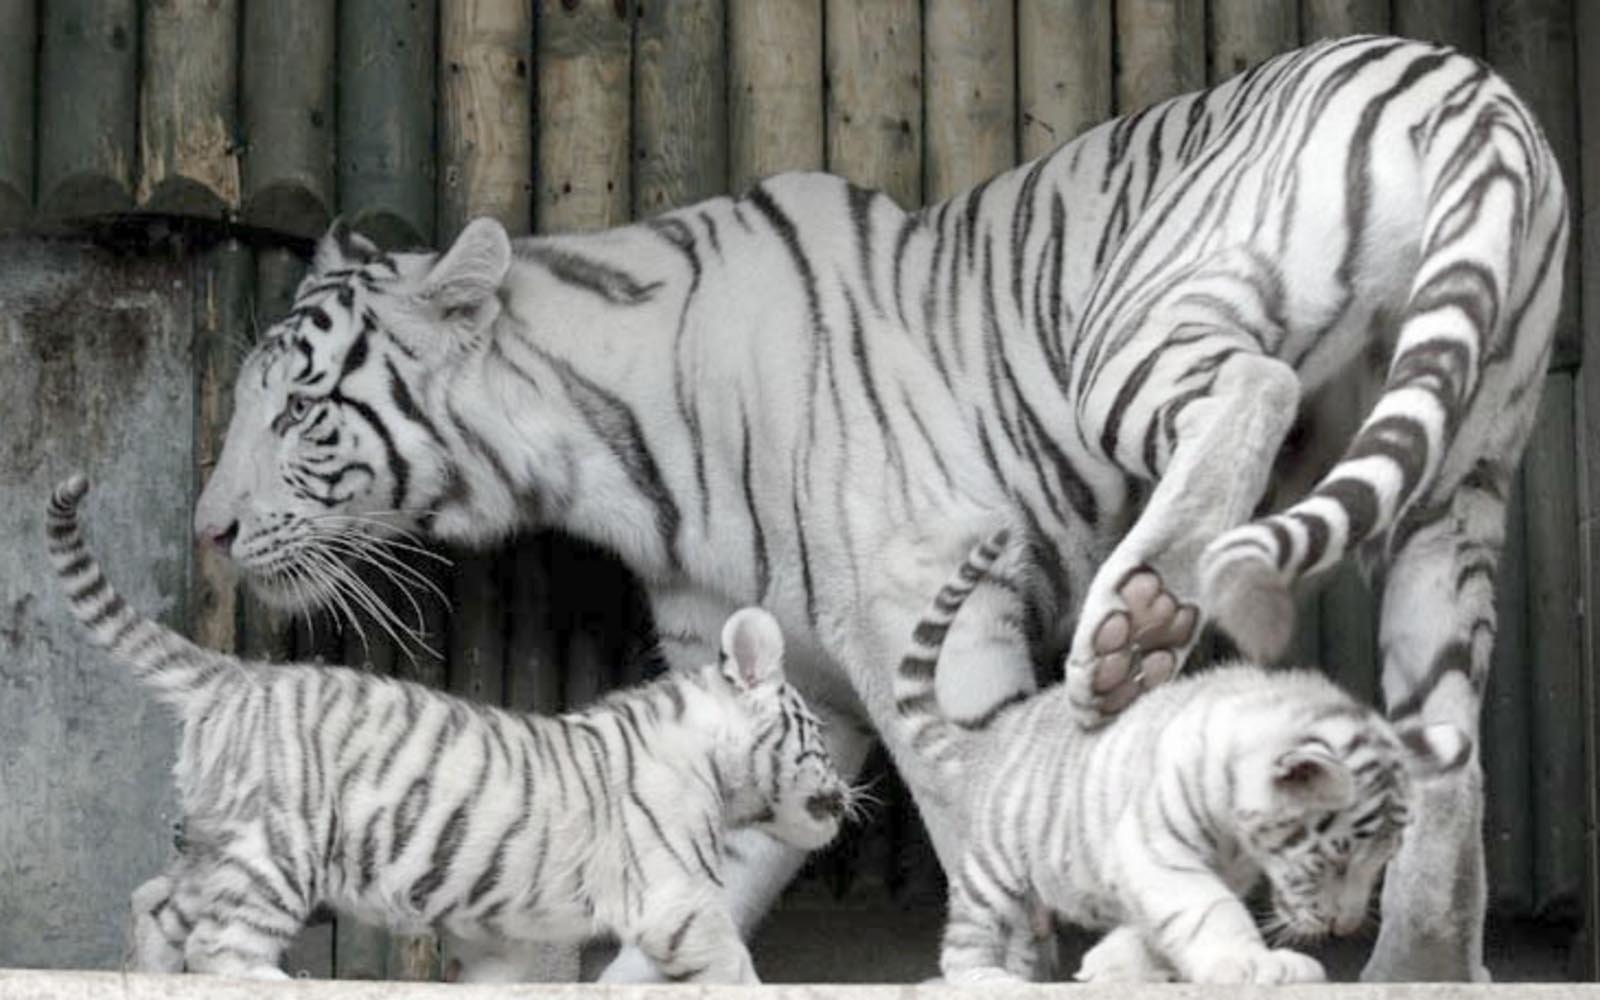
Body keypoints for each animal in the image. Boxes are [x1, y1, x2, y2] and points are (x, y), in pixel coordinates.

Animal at [46, 474, 848, 983]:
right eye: (816, 735)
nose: (848, 791)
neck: (713, 765)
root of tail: (239, 675)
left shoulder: (504, 928)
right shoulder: (675, 896)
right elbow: (732, 962)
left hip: (219, 841)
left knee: (158, 904)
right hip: (277, 845)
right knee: (223, 941)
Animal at [895, 530, 1472, 984]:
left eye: (1382, 861)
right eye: (1334, 860)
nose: (1346, 926)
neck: (1239, 838)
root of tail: (997, 729)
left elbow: (1159, 926)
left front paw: (1112, 963)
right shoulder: (1157, 848)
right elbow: (1207, 910)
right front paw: (1257, 964)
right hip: (996, 865)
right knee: (969, 932)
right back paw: (986, 979)